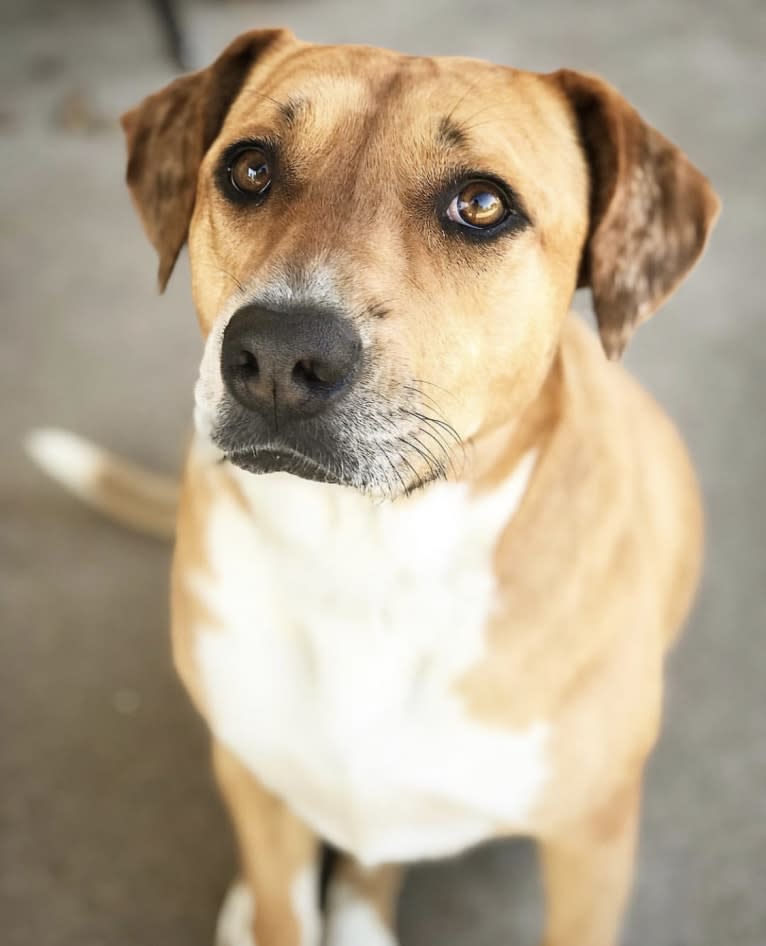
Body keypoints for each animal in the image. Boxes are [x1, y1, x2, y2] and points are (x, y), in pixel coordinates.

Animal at [28, 25, 720, 944]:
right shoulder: (256, 790)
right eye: (249, 168)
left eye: (483, 204)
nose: (277, 356)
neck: (367, 558)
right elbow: (282, 906)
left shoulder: (592, 841)